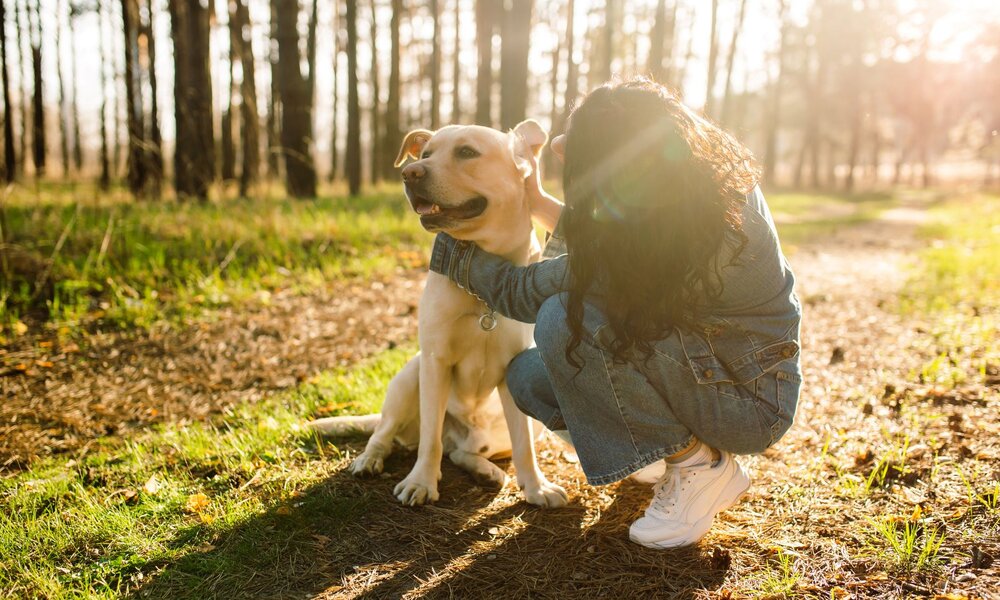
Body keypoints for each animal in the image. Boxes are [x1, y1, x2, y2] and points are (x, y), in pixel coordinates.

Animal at [306, 120, 572, 506]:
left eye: (467, 152)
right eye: (426, 153)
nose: (410, 172)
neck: (481, 288)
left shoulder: (512, 369)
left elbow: (523, 444)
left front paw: (536, 486)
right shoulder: (434, 362)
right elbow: (429, 439)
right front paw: (421, 482)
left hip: (524, 425)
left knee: (463, 452)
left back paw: (488, 471)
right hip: (407, 378)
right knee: (386, 433)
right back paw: (370, 459)